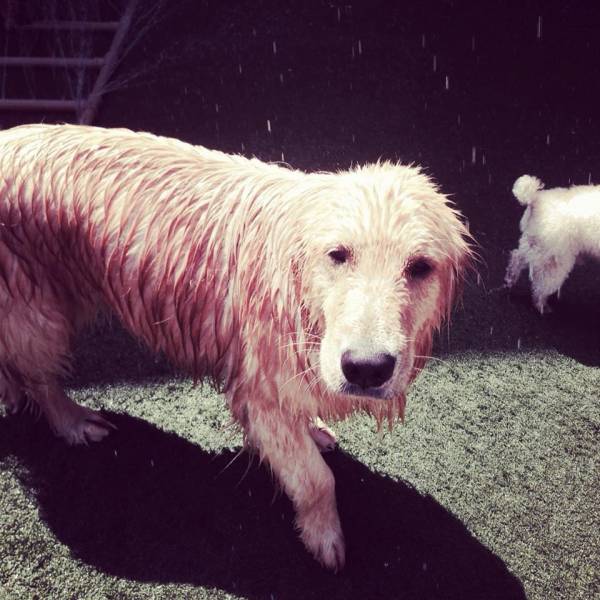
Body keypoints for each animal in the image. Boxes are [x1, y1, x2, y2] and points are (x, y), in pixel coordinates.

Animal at [0, 124, 474, 568]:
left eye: (420, 267)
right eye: (338, 254)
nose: (366, 368)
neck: (303, 303)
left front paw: (313, 429)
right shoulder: (260, 393)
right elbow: (316, 480)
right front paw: (324, 536)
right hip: (38, 310)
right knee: (41, 377)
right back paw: (73, 420)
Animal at [504, 175, 600, 312]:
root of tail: (537, 199)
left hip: (535, 245)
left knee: (517, 257)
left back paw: (510, 279)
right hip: (554, 258)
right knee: (542, 284)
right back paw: (541, 306)